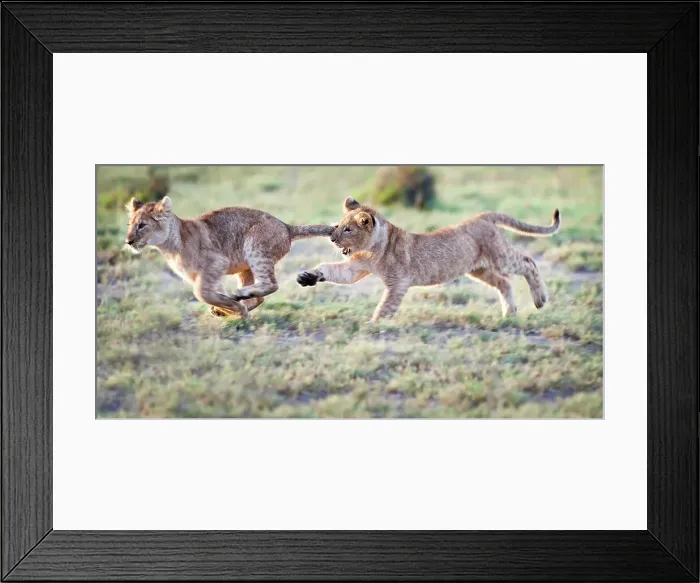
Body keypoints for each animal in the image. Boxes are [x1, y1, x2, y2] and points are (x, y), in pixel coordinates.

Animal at [125, 196, 334, 319]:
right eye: (130, 224)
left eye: (142, 225)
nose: (128, 241)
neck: (169, 246)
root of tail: (286, 227)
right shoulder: (206, 274)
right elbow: (212, 295)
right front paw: (226, 308)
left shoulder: (217, 262)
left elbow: (201, 293)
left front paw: (234, 307)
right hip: (245, 266)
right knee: (259, 298)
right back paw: (240, 302)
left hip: (255, 248)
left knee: (271, 285)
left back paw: (240, 296)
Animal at [297, 197, 560, 321]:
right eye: (337, 225)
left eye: (348, 229)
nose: (332, 238)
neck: (372, 249)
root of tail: (483, 216)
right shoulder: (356, 267)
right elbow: (332, 270)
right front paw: (307, 277)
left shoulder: (398, 283)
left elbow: (385, 307)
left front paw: (373, 325)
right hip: (478, 269)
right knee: (504, 282)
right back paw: (509, 314)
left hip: (500, 257)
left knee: (528, 262)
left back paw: (540, 300)